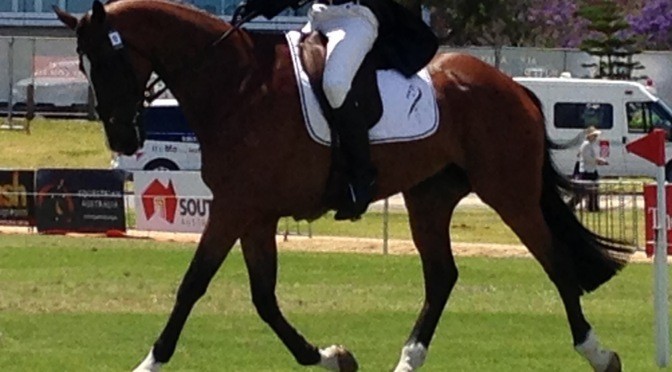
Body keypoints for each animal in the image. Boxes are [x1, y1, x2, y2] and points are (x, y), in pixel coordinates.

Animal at [55, 1, 632, 370]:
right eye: (83, 64)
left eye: (108, 60)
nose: (123, 136)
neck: (236, 86)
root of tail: (514, 86)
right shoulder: (254, 213)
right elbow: (263, 298)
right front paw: (329, 357)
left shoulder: (235, 208)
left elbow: (193, 285)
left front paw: (149, 362)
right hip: (430, 195)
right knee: (442, 276)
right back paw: (408, 360)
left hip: (507, 191)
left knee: (555, 262)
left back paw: (599, 354)